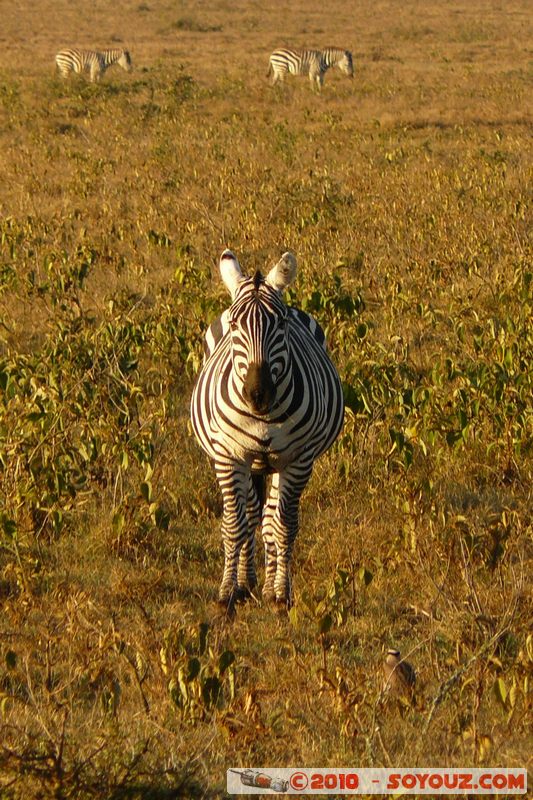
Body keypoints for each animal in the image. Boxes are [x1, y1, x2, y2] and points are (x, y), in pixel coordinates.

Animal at [191, 247, 344, 608]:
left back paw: (266, 584)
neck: (261, 416)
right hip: (246, 462)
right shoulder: (229, 456)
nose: (258, 394)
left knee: (270, 517)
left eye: (281, 323)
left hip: (275, 464)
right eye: (236, 324)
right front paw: (227, 593)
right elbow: (234, 524)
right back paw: (245, 581)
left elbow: (283, 525)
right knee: (249, 513)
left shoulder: (298, 460)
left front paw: (280, 594)